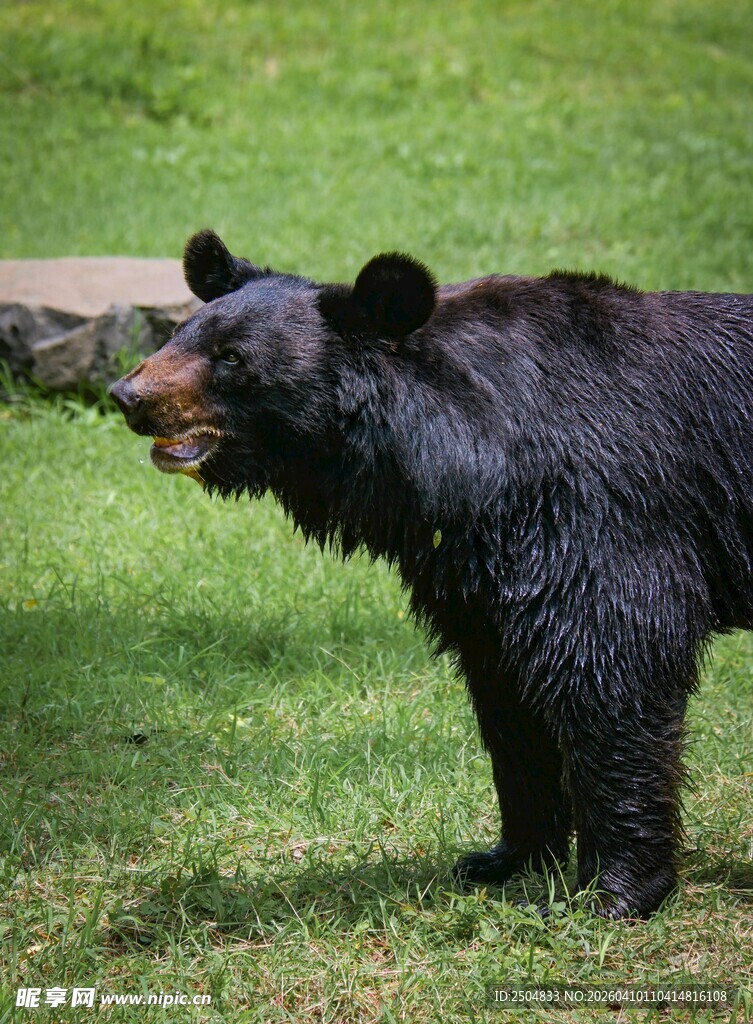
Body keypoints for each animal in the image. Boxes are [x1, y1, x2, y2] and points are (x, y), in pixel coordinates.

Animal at [110, 229, 753, 918]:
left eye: (231, 358)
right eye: (179, 334)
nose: (128, 397)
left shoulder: (603, 508)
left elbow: (613, 668)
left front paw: (612, 892)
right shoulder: (476, 569)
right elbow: (506, 697)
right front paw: (505, 859)